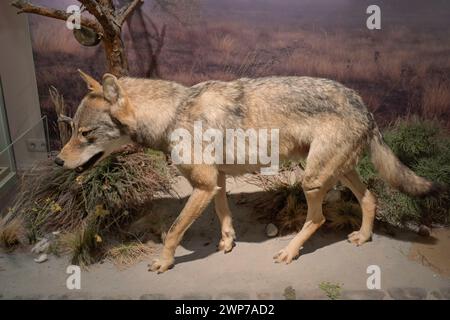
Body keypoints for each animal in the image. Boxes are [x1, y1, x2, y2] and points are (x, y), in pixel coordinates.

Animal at [54, 70, 442, 272]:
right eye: (71, 129)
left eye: (85, 134)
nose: (58, 161)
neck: (174, 113)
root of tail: (363, 103)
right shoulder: (217, 182)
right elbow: (224, 214)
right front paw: (227, 242)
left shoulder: (202, 185)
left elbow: (173, 231)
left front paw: (163, 263)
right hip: (337, 173)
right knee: (371, 199)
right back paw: (363, 236)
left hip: (312, 179)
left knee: (317, 219)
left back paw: (290, 252)